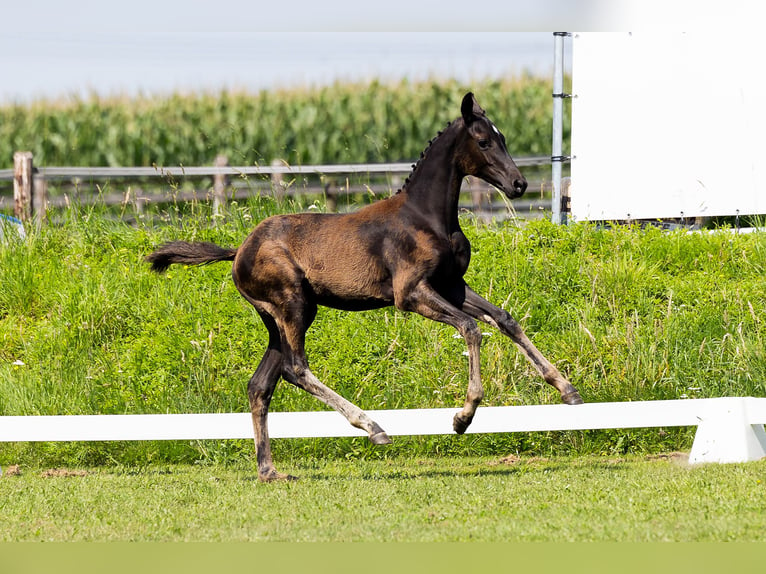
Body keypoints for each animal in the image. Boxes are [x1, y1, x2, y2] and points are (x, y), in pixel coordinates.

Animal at [147, 93, 584, 482]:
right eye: (483, 141)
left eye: (503, 137)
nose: (519, 184)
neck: (427, 218)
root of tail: (239, 250)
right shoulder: (409, 294)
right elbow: (471, 328)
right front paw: (462, 417)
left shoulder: (452, 286)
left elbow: (504, 319)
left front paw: (568, 389)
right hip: (296, 306)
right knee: (295, 368)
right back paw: (374, 428)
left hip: (276, 319)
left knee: (261, 384)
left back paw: (270, 471)